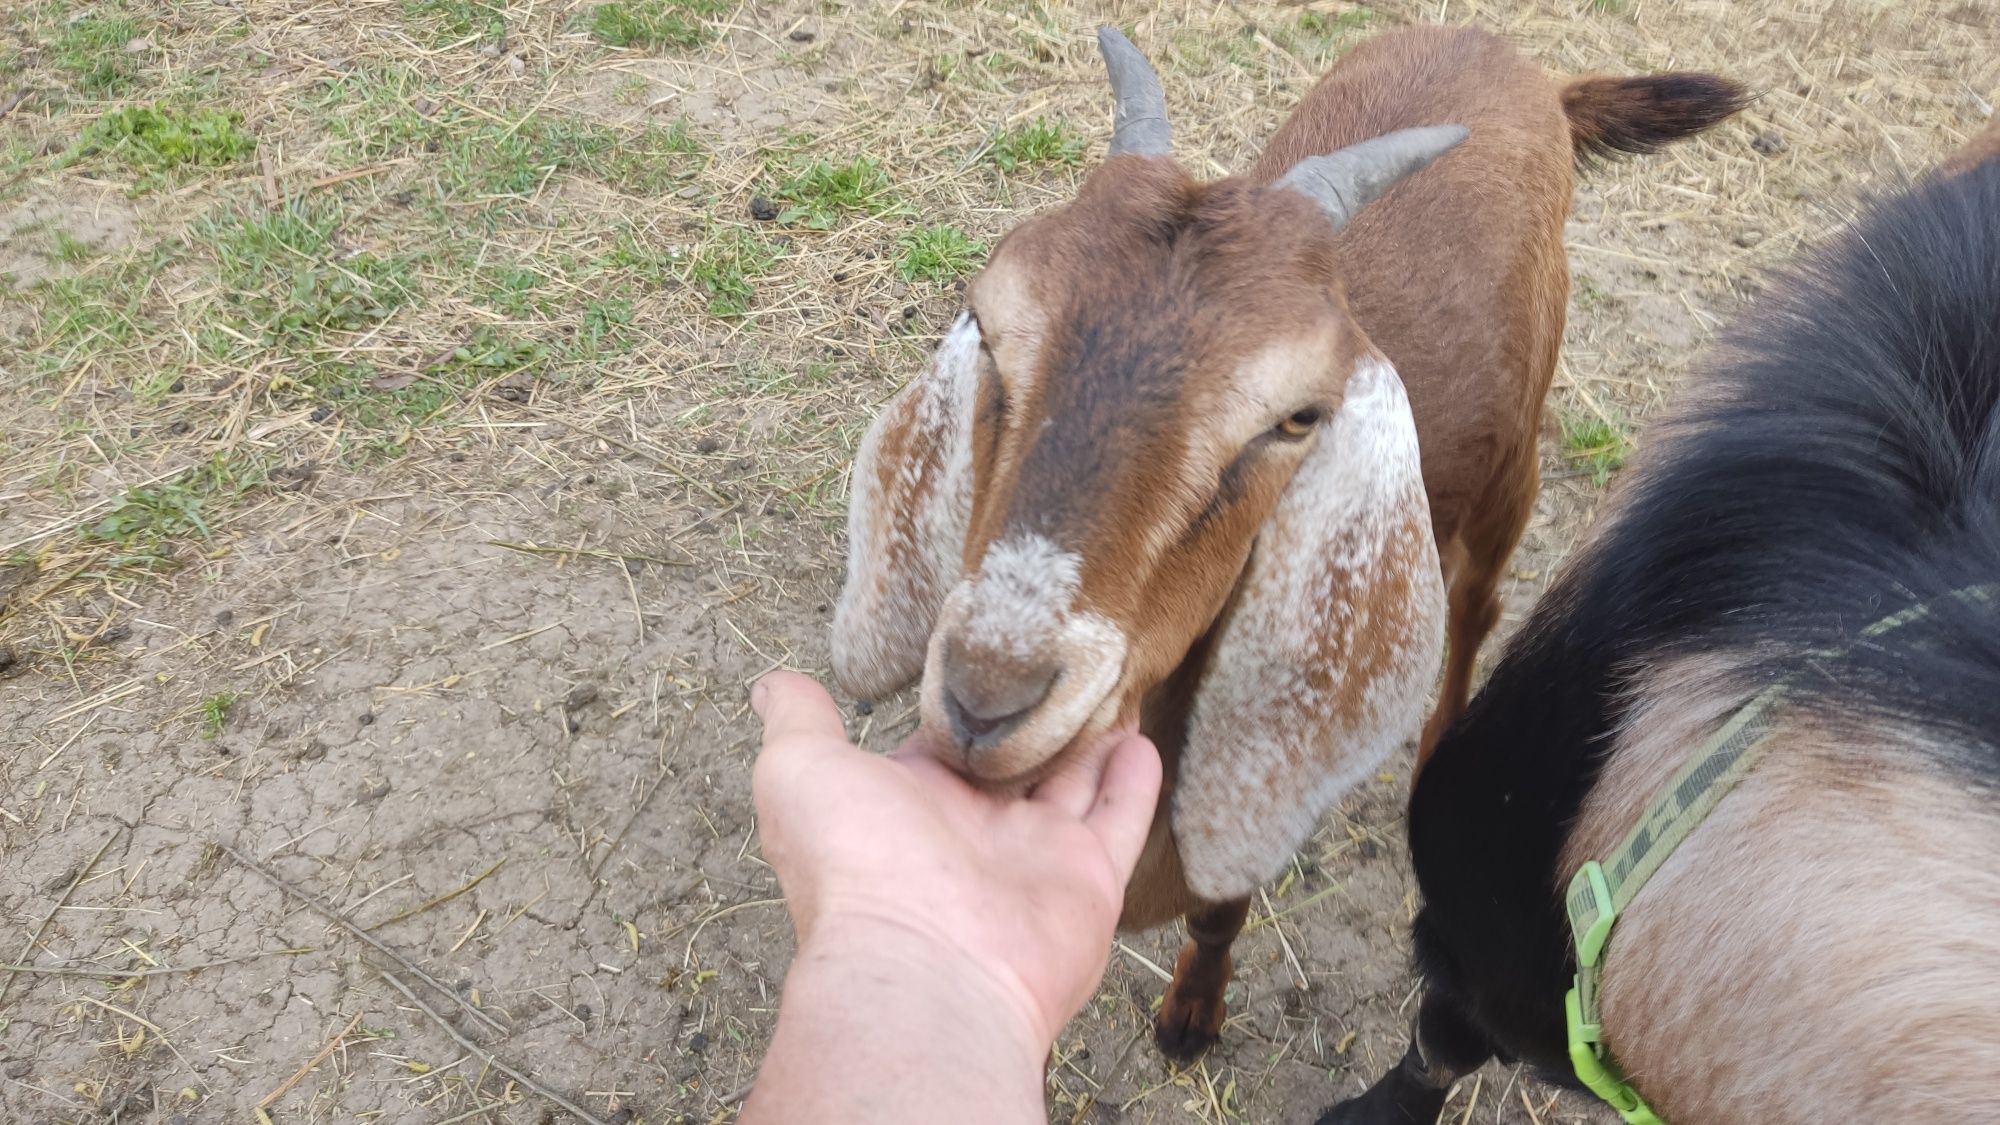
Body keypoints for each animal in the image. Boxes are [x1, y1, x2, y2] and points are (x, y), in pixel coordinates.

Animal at [836, 28, 1744, 1056]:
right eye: (987, 327)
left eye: (1298, 417)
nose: (986, 698)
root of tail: (1516, 60)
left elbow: (1220, 906)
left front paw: (1193, 1011)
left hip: (1514, 460)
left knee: (1477, 604)